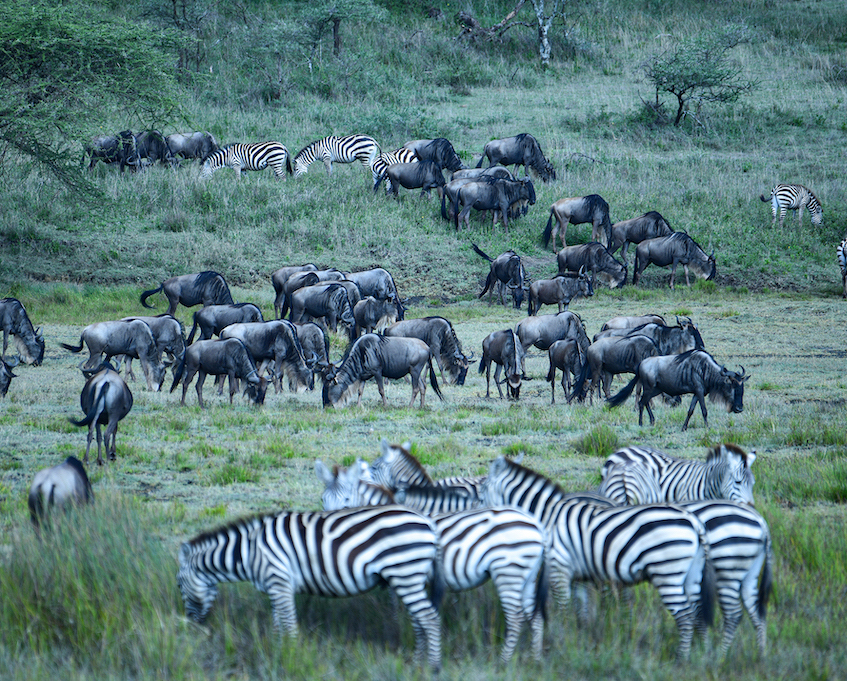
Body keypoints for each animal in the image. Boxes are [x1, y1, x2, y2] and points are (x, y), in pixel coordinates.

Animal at [177, 506, 444, 670]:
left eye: (179, 583)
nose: (192, 623)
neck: (248, 552)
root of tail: (428, 522)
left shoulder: (279, 581)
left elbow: (289, 626)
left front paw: (292, 658)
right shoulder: (275, 588)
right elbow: (278, 627)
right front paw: (278, 654)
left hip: (405, 571)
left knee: (430, 619)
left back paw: (433, 666)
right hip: (409, 577)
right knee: (420, 621)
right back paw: (418, 663)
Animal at [314, 461, 549, 663]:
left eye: (346, 500)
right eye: (323, 499)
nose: (326, 531)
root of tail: (537, 527)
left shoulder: (400, 571)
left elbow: (400, 608)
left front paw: (398, 630)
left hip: (509, 571)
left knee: (516, 617)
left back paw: (504, 661)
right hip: (526, 576)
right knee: (534, 616)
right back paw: (535, 660)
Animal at [481, 455, 716, 660]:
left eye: (481, 493)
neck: (547, 516)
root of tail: (693, 522)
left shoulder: (559, 570)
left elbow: (563, 610)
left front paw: (562, 640)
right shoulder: (578, 577)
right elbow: (582, 613)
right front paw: (582, 640)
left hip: (667, 572)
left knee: (685, 617)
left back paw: (681, 659)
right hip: (691, 574)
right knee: (698, 613)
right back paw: (702, 655)